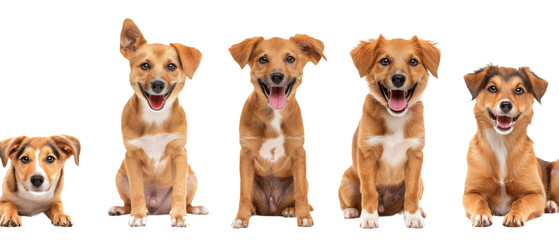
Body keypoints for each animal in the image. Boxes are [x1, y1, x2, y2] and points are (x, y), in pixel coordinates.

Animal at [107, 18, 208, 227]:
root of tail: (157, 209)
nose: (158, 85)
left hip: (192, 177)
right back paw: (122, 209)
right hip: (120, 176)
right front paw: (138, 215)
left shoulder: (179, 154)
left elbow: (179, 191)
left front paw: (179, 216)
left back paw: (194, 209)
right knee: (128, 201)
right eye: (145, 65)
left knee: (187, 200)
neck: (155, 119)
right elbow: (137, 191)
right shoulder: (131, 156)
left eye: (171, 66)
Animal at [229, 34, 326, 228]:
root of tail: (271, 210)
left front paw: (304, 216)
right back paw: (252, 209)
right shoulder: (246, 153)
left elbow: (301, 193)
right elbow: (243, 193)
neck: (274, 114)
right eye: (263, 59)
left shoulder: (299, 152)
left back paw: (291, 210)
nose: (277, 76)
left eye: (290, 58)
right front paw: (241, 217)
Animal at [336, 35, 442, 229]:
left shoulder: (415, 156)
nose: (398, 78)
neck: (395, 117)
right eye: (384, 61)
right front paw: (369, 217)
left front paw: (413, 216)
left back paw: (416, 211)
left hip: (421, 181)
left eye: (413, 61)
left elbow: (411, 192)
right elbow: (369, 191)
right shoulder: (367, 155)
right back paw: (351, 211)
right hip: (346, 182)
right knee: (350, 201)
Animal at [464, 65, 559, 227]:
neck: (501, 143)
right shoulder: (470, 193)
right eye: (492, 88)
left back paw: (550, 204)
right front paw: (481, 214)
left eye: (519, 90)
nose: (506, 105)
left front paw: (514, 215)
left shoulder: (536, 194)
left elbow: (521, 202)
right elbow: (480, 202)